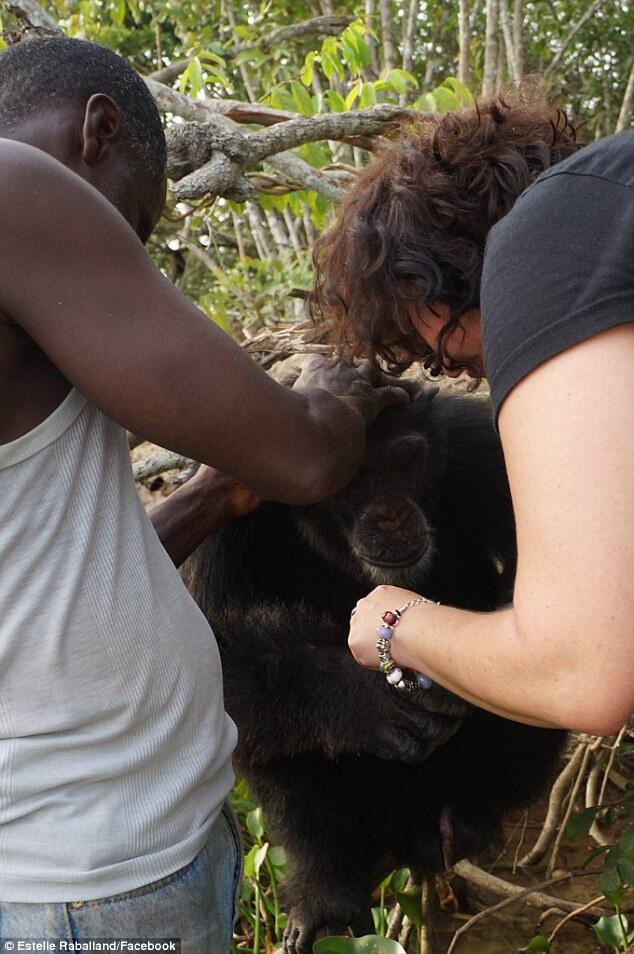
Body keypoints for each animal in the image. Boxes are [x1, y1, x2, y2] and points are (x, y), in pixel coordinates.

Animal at [183, 384, 564, 952]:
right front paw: (362, 697)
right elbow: (206, 656)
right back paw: (326, 892)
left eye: (404, 462)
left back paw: (465, 822)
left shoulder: (483, 452)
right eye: (352, 480)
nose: (388, 515)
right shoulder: (220, 533)